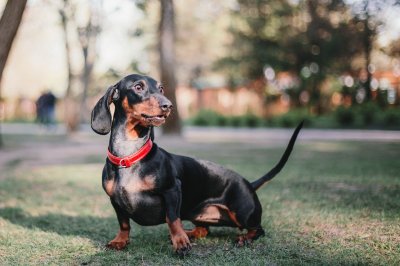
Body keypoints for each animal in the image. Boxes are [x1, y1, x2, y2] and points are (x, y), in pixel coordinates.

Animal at [91, 74, 304, 255]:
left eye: (161, 88)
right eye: (138, 87)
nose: (168, 105)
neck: (130, 156)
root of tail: (249, 184)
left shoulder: (172, 190)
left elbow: (172, 219)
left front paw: (180, 242)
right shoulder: (115, 201)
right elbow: (124, 224)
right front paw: (120, 241)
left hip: (243, 213)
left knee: (258, 229)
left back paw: (242, 238)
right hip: (199, 214)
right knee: (204, 230)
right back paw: (190, 233)